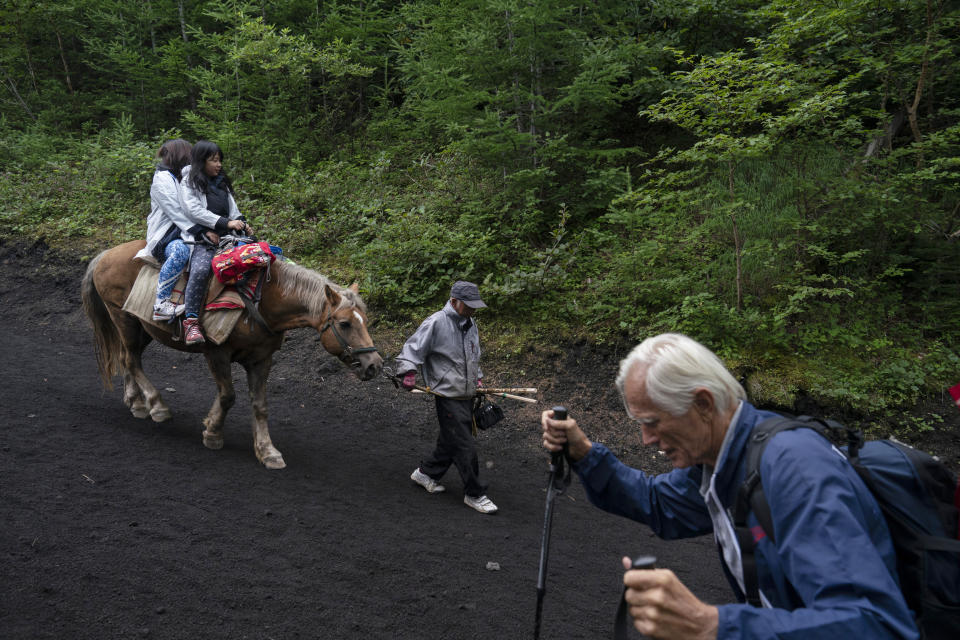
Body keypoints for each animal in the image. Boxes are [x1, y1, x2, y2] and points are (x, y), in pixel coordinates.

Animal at [82, 238, 382, 468]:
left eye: (365, 320)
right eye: (344, 324)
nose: (374, 365)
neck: (262, 300)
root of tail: (105, 255)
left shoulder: (262, 359)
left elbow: (259, 405)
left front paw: (267, 451)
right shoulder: (217, 352)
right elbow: (228, 396)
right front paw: (213, 433)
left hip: (142, 327)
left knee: (128, 359)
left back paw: (136, 402)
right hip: (124, 319)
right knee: (130, 359)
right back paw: (156, 406)